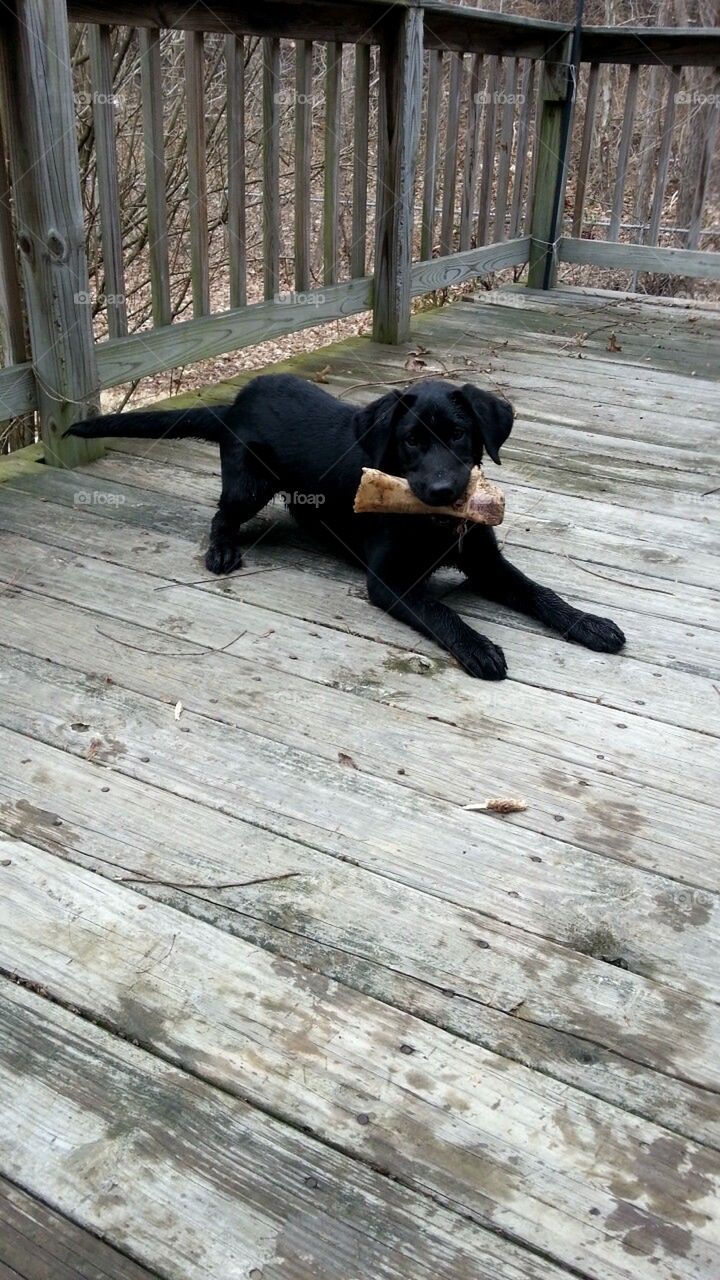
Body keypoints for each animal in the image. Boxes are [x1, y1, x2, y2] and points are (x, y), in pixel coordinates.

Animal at [67, 373, 622, 680]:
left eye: (460, 435)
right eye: (412, 441)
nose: (443, 490)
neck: (435, 525)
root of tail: (234, 404)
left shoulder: (485, 562)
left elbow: (539, 592)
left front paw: (589, 622)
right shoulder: (389, 581)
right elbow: (439, 610)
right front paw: (479, 646)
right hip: (250, 483)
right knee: (222, 513)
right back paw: (222, 549)